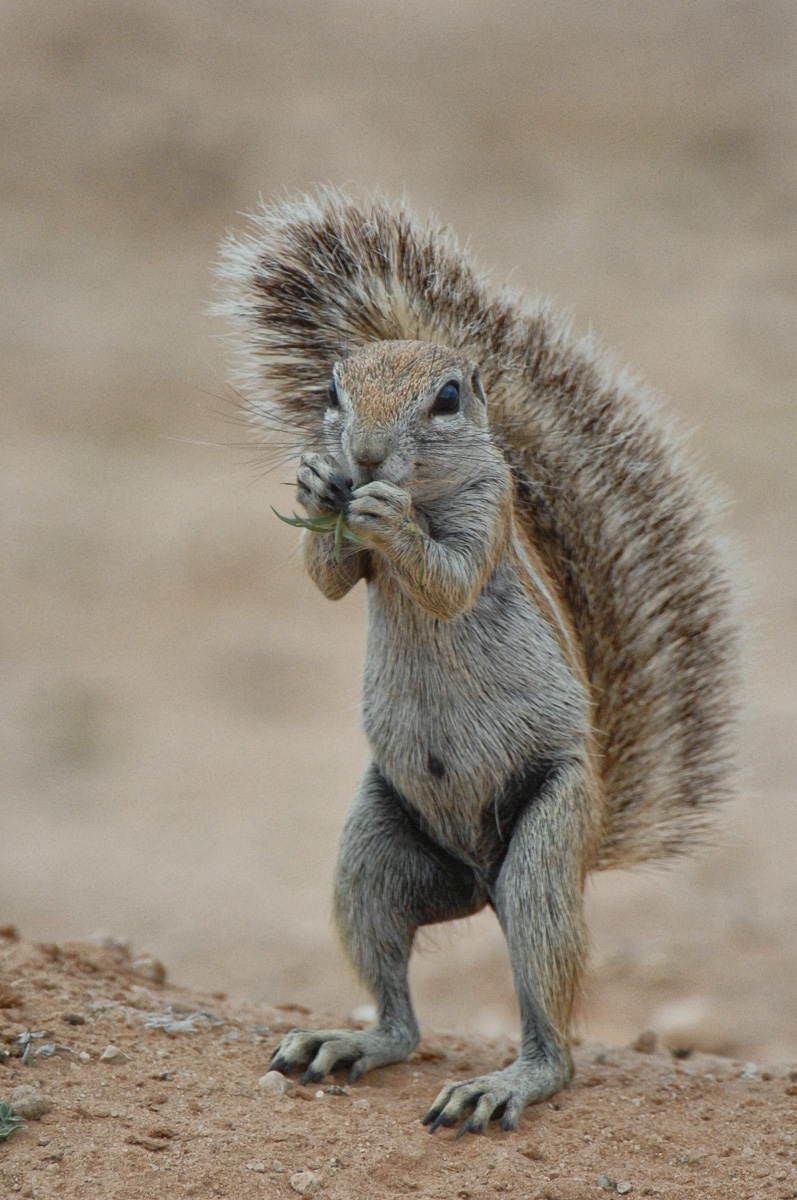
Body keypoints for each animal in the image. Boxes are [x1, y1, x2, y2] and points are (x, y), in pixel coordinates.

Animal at [214, 184, 739, 1132]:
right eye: (333, 390)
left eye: (449, 396)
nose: (363, 459)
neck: (424, 492)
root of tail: (477, 884)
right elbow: (328, 581)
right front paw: (319, 489)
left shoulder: (488, 522)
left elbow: (447, 582)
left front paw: (387, 517)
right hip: (370, 860)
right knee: (398, 1011)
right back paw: (346, 1042)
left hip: (541, 852)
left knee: (551, 1032)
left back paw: (504, 1083)